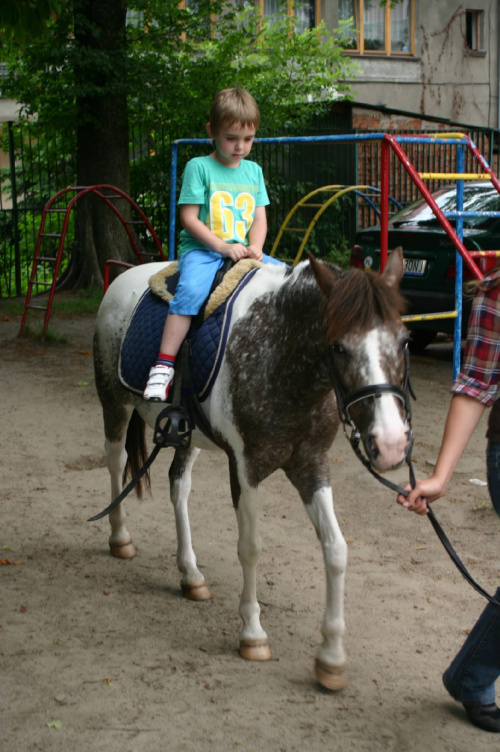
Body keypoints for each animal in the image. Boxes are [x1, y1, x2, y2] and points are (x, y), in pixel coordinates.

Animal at [93, 250, 410, 692]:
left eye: (404, 341)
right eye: (339, 347)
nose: (392, 442)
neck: (280, 354)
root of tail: (123, 280)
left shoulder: (311, 466)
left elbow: (336, 549)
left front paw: (331, 657)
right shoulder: (246, 468)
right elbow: (251, 547)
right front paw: (253, 634)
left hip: (187, 435)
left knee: (179, 487)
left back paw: (191, 575)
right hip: (114, 403)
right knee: (116, 462)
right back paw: (120, 538)